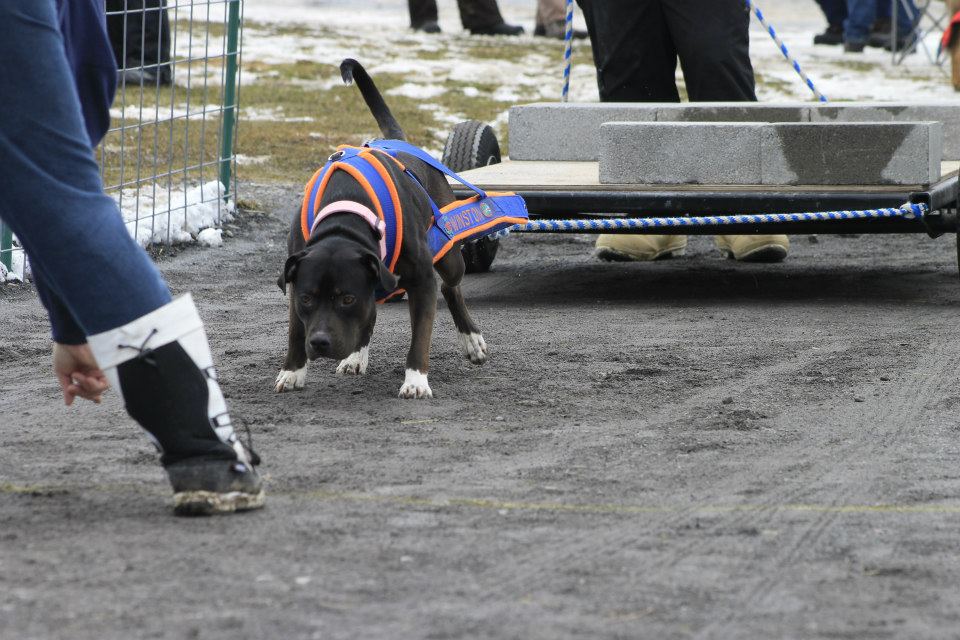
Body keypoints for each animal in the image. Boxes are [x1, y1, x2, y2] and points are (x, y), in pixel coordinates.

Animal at [274, 60, 492, 400]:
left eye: (346, 299)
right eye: (308, 299)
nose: (320, 342)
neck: (346, 216)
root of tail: (402, 143)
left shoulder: (421, 280)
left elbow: (421, 335)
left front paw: (416, 380)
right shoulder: (295, 278)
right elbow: (296, 330)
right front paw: (293, 371)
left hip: (450, 255)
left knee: (451, 287)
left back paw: (471, 339)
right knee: (373, 314)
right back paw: (355, 355)